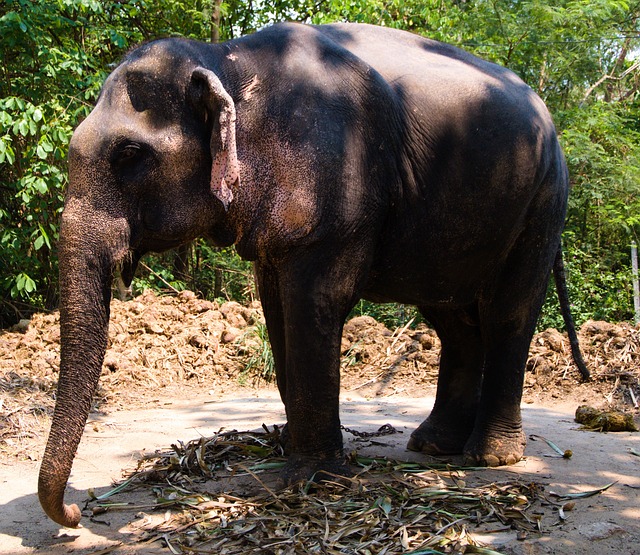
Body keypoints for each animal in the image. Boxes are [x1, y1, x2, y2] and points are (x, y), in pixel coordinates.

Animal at [41, 20, 592, 524]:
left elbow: (313, 303)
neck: (229, 59)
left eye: (129, 154)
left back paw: (490, 457)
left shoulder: (337, 201)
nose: (77, 511)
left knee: (508, 314)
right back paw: (434, 446)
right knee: (453, 320)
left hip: (544, 200)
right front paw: (291, 451)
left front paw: (313, 479)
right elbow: (276, 308)